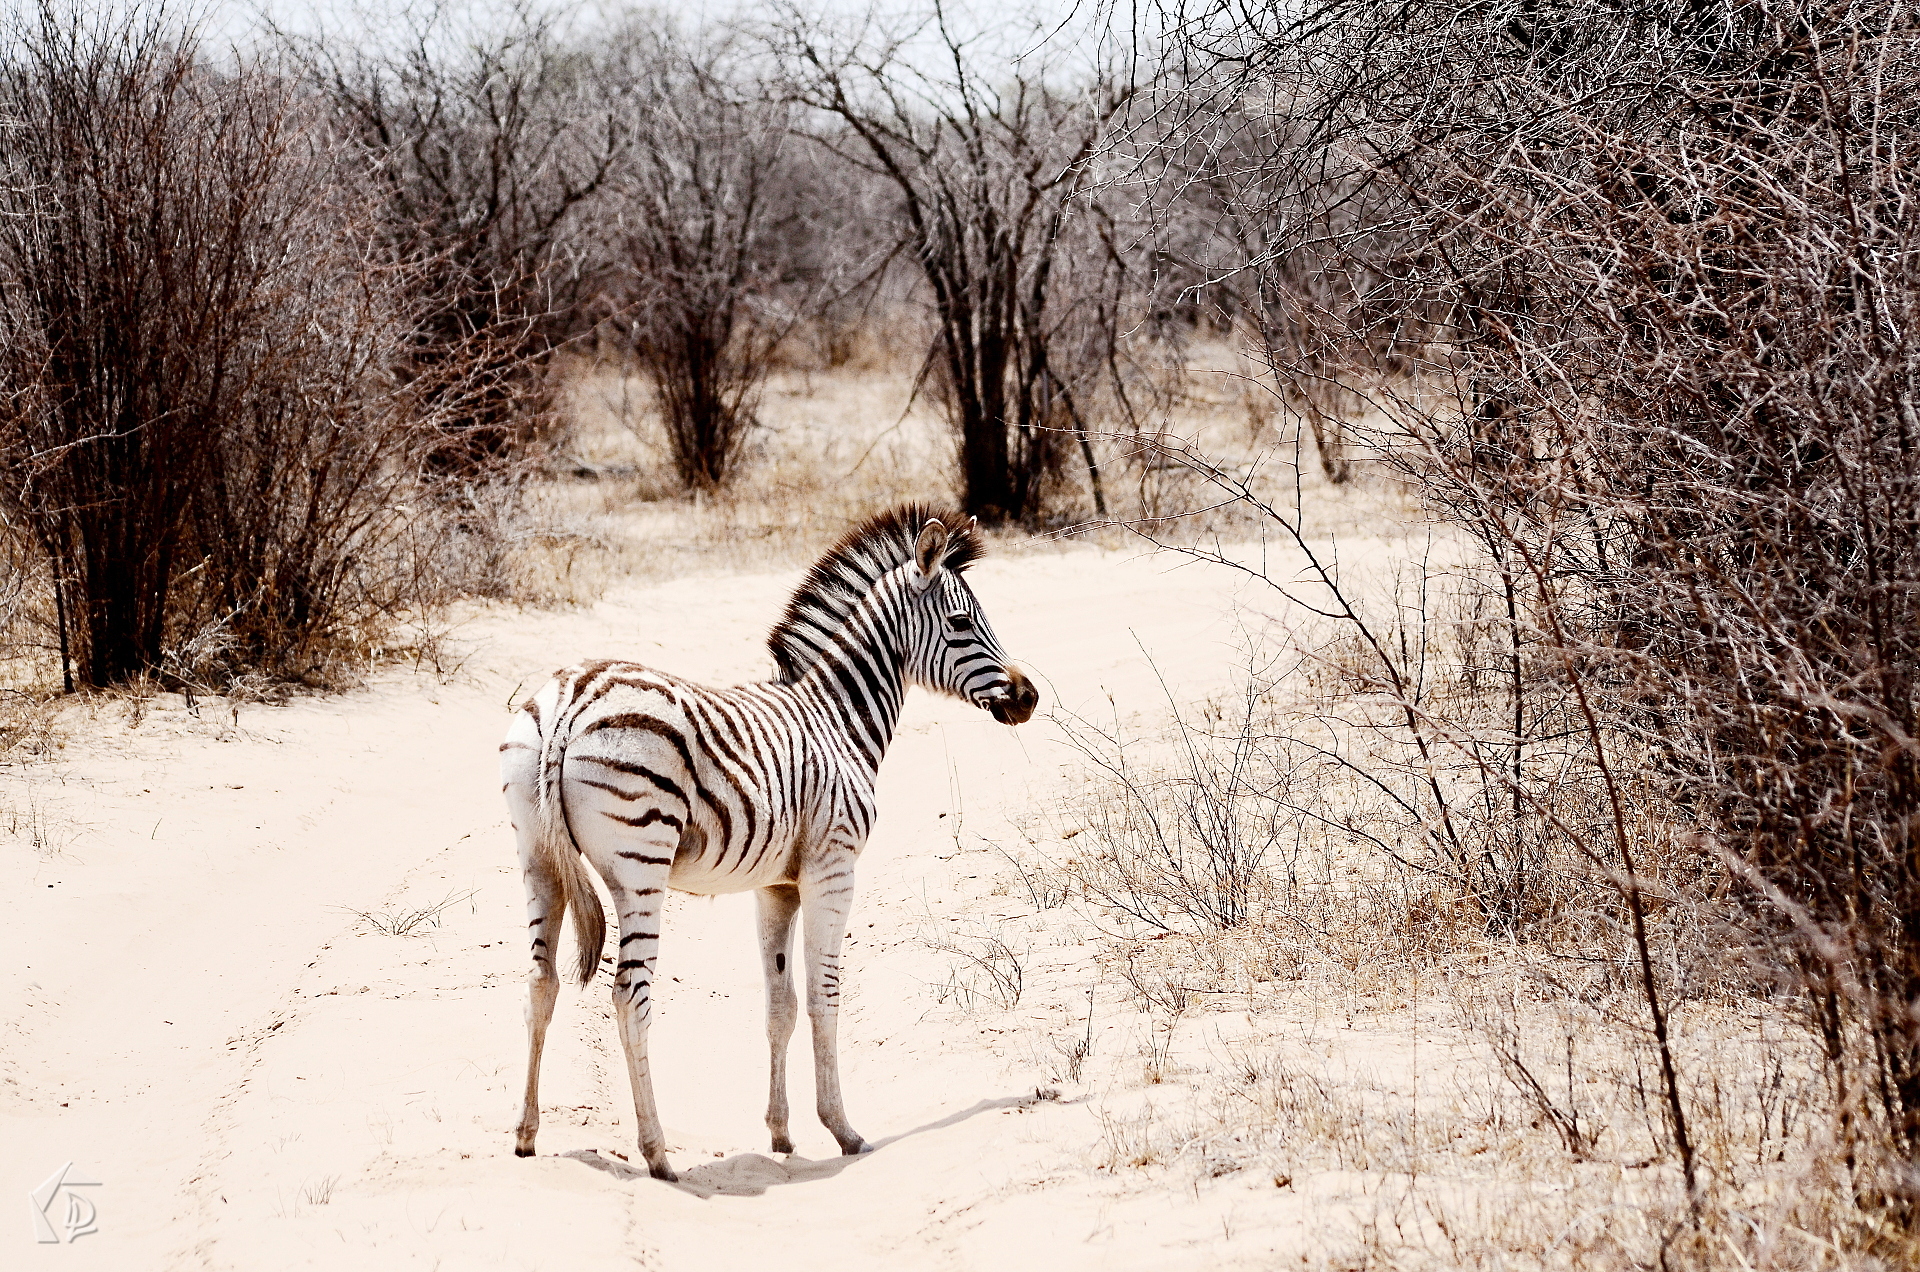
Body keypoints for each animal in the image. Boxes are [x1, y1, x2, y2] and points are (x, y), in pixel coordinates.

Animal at [500, 505, 1038, 1181]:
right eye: (963, 623)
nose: (1029, 696)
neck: (836, 717)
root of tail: (570, 699)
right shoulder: (832, 868)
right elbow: (823, 996)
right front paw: (842, 1129)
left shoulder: (775, 885)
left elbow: (779, 1004)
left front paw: (781, 1133)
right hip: (640, 867)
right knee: (630, 996)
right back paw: (656, 1152)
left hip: (536, 858)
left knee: (539, 982)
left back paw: (526, 1134)